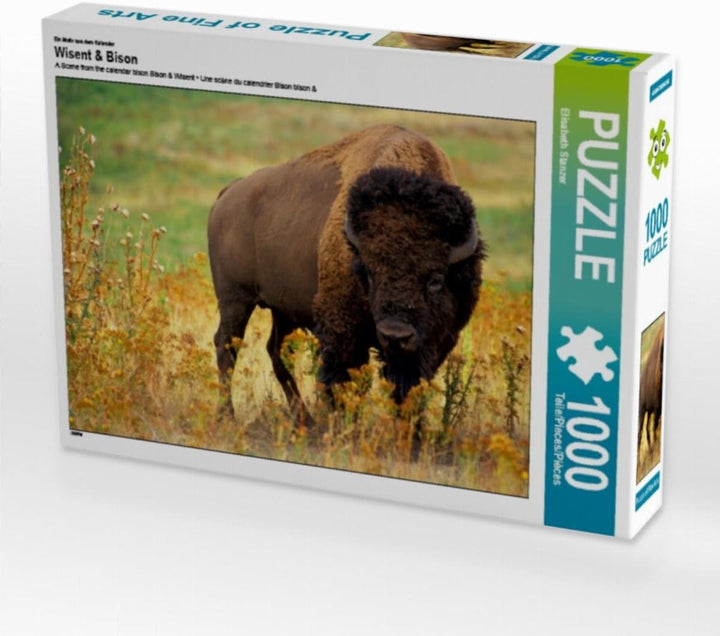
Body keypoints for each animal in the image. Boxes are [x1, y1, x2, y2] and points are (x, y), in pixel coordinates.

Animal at [208, 124, 485, 425]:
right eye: (370, 274)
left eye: (435, 280)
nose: (395, 335)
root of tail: (228, 192)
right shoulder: (343, 334)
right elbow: (342, 383)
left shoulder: (432, 343)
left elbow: (407, 389)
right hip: (235, 299)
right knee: (227, 347)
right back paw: (228, 416)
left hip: (282, 309)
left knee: (275, 351)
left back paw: (305, 421)